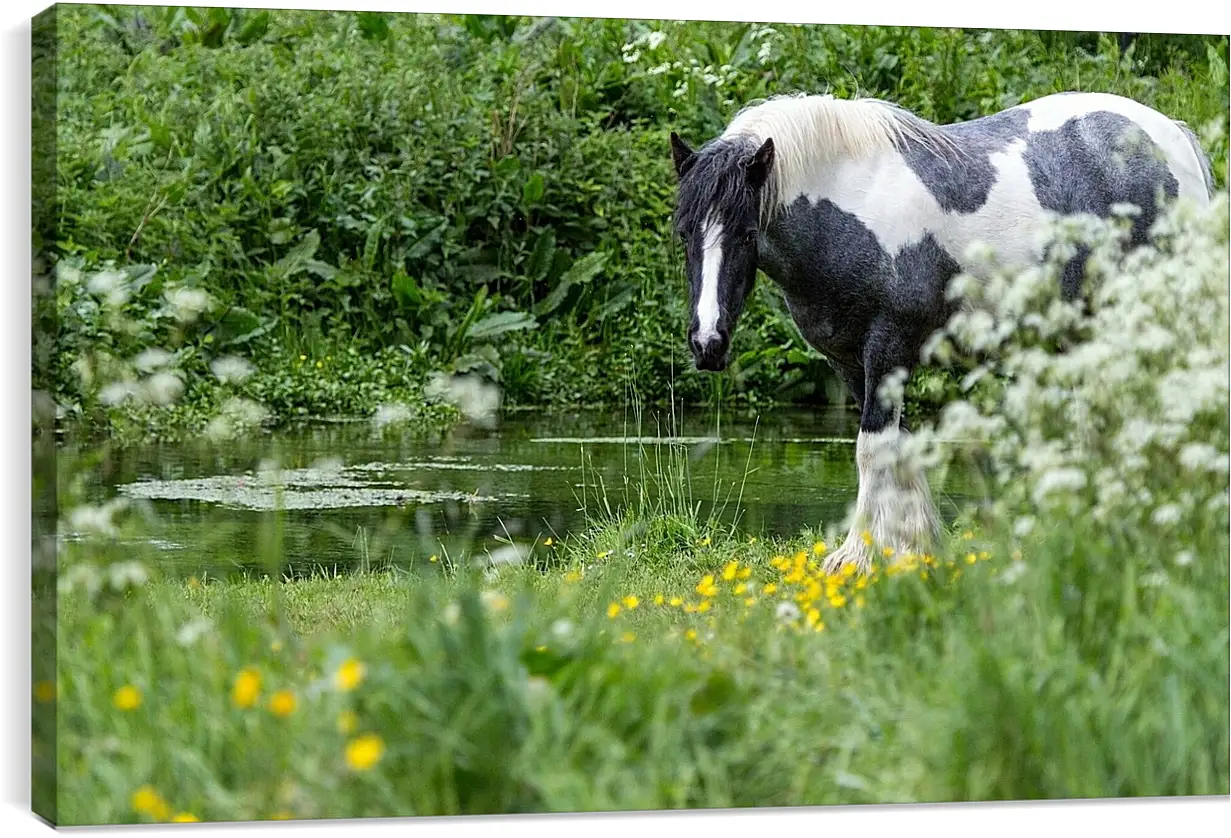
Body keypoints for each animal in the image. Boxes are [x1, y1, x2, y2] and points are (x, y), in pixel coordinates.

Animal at [669, 92, 1216, 575]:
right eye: (685, 233)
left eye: (746, 234)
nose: (707, 343)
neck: (851, 204)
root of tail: (1173, 138)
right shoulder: (849, 364)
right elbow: (899, 450)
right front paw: (915, 549)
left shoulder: (889, 349)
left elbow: (871, 449)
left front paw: (859, 557)